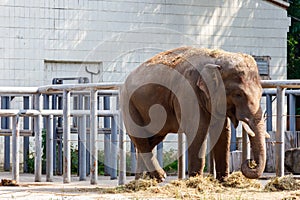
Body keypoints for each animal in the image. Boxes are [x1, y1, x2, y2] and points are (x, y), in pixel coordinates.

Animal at [119, 46, 268, 181]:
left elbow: (222, 132)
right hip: (129, 105)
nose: (249, 162)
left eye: (261, 93)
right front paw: (195, 180)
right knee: (140, 138)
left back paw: (142, 180)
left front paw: (224, 181)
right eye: (238, 94)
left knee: (152, 139)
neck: (216, 58)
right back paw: (160, 177)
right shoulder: (188, 92)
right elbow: (198, 130)